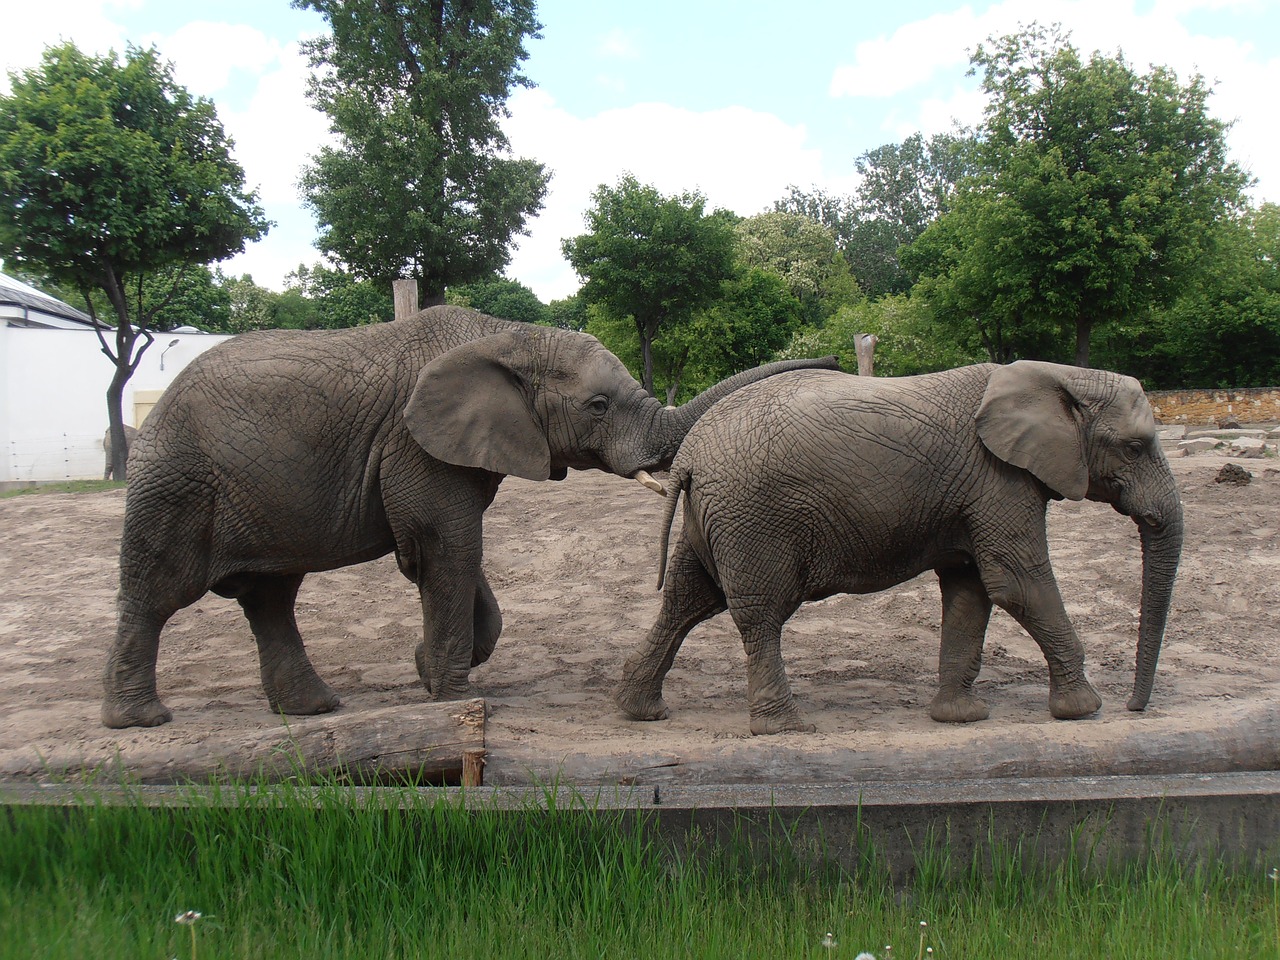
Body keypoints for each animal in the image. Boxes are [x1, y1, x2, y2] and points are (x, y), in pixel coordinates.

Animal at [99, 308, 839, 727]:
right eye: (598, 406)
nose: (833, 358)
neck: (509, 336)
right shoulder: (418, 443)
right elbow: (446, 546)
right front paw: (451, 696)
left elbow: (451, 554)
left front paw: (428, 670)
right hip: (177, 480)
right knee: (159, 591)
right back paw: (139, 720)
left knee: (270, 595)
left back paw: (313, 709)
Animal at [614, 360, 1182, 737]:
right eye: (1135, 447)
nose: (1135, 708)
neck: (1060, 376)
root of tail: (690, 453)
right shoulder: (1000, 482)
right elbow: (1016, 583)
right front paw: (1084, 709)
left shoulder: (977, 492)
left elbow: (971, 589)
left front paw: (960, 718)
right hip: (753, 517)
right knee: (760, 613)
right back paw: (786, 728)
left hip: (714, 516)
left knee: (688, 599)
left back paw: (641, 710)